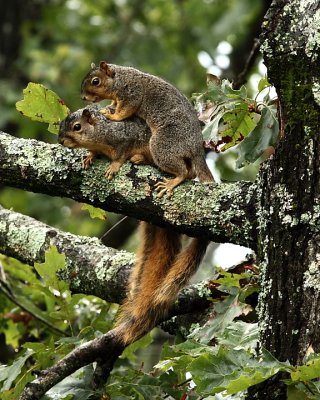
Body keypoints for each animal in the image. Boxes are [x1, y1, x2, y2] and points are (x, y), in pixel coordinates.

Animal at [81, 61, 214, 198]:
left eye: (95, 81)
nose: (83, 97)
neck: (120, 78)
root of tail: (196, 146)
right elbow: (114, 105)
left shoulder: (132, 93)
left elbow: (124, 111)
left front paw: (112, 116)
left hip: (163, 144)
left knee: (183, 171)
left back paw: (170, 183)